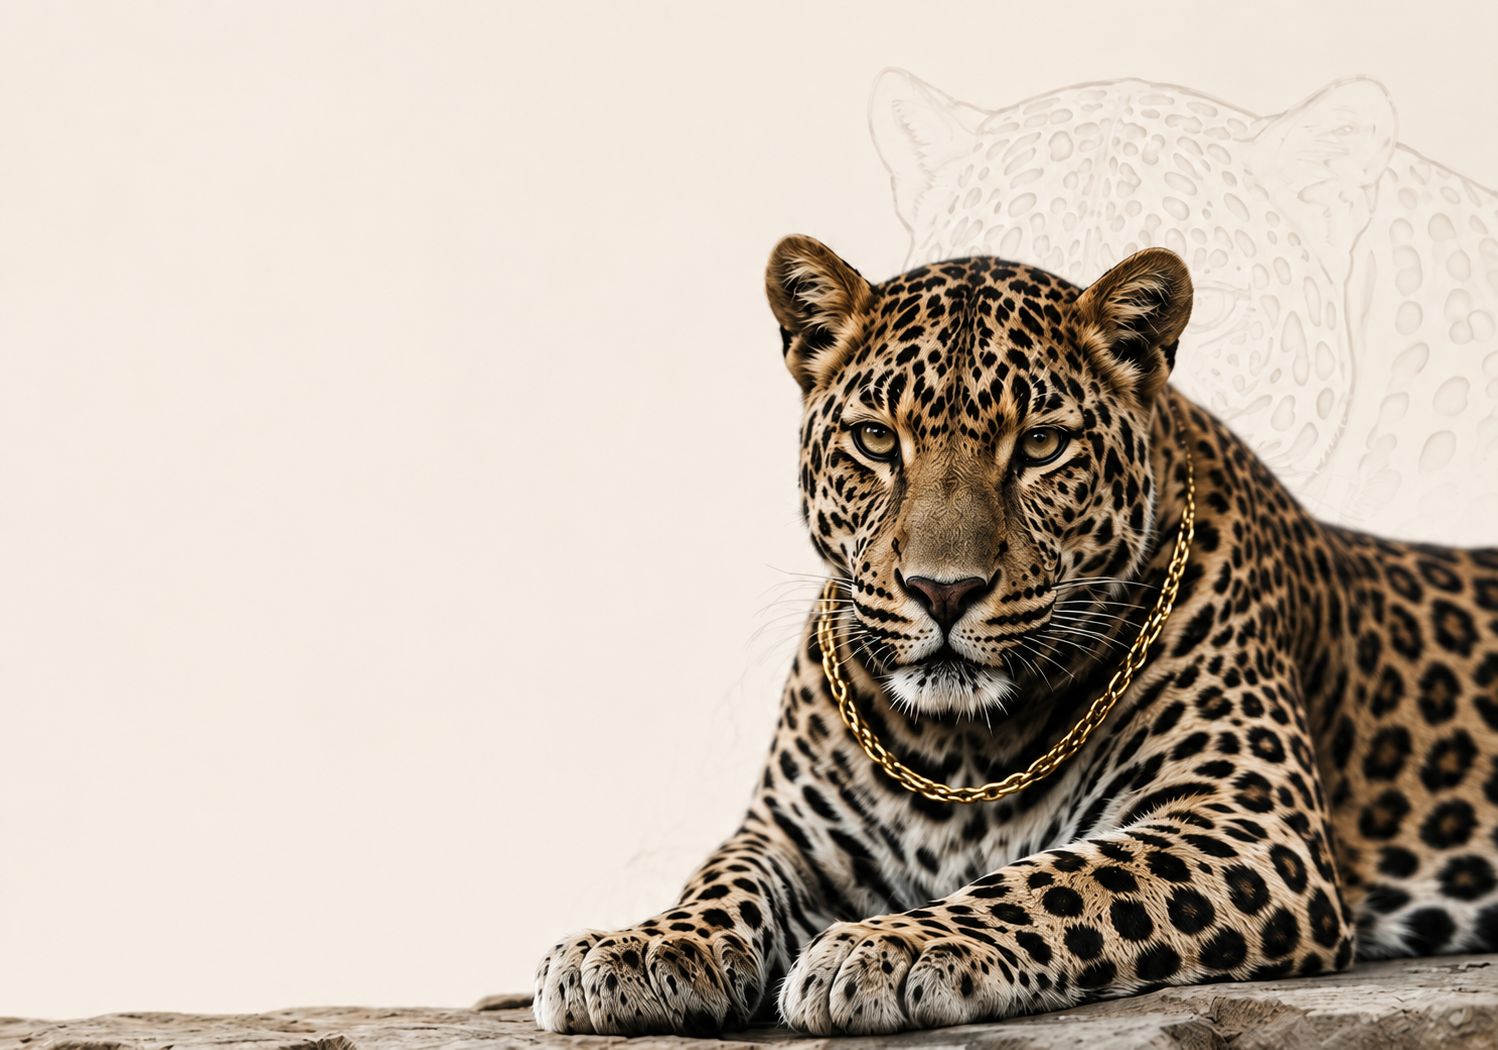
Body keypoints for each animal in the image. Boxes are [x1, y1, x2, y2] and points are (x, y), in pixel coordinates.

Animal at [532, 235, 1498, 1036]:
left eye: (1038, 446)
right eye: (876, 440)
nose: (941, 590)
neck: (961, 747)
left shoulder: (1249, 823)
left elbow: (1062, 879)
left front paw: (892, 948)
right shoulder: (790, 835)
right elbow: (722, 878)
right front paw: (639, 947)